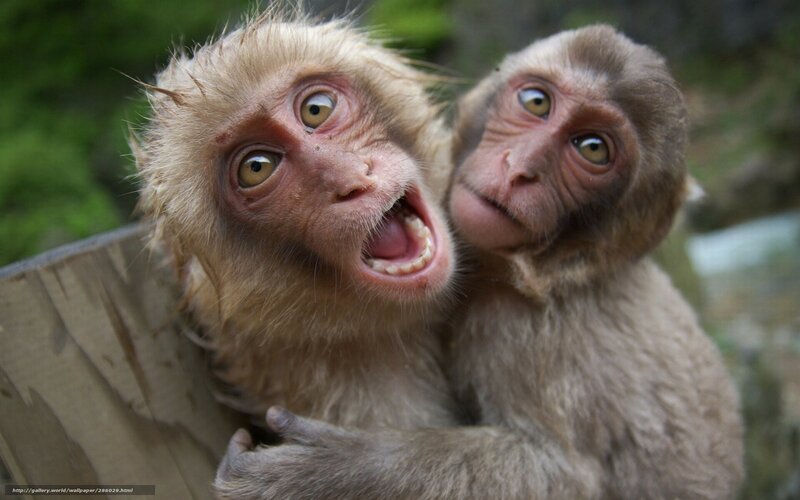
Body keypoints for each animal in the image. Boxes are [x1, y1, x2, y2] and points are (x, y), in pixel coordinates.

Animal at [215, 25, 744, 500]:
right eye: (536, 102)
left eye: (593, 148)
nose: (520, 168)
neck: (549, 272)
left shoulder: (521, 327)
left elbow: (562, 475)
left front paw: (331, 472)